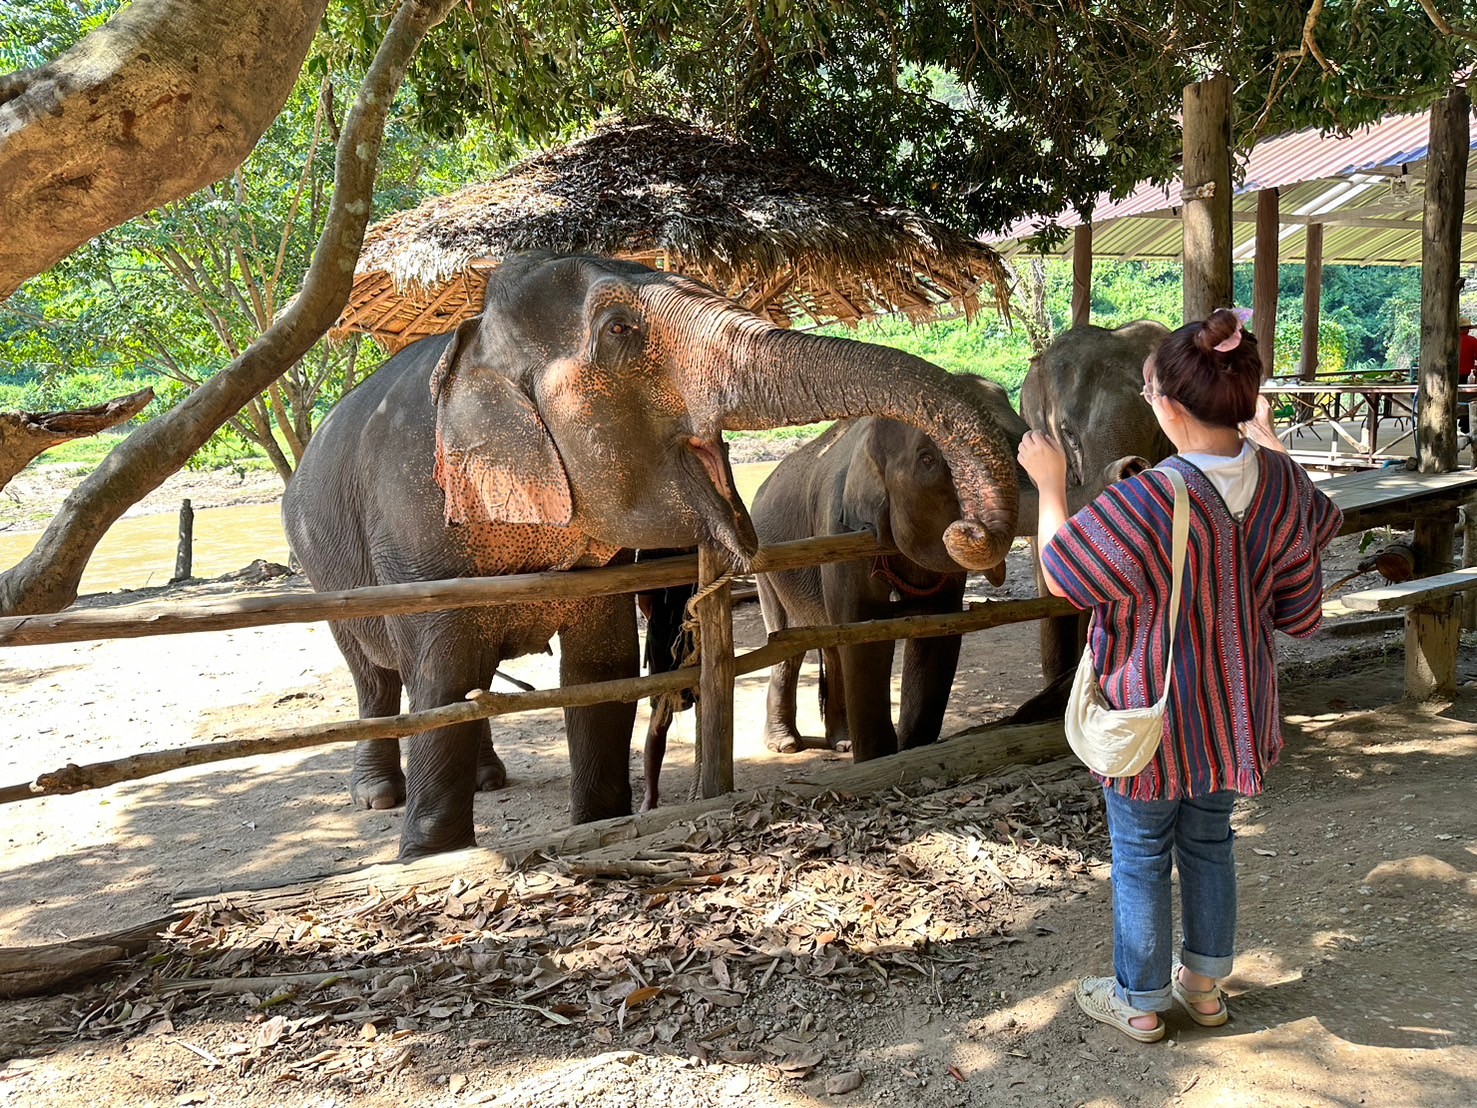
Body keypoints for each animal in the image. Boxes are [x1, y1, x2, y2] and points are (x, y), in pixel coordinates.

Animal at [751, 376, 1028, 762]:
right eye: (927, 460)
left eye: (1019, 439)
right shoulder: (841, 531)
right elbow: (865, 633)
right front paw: (878, 757)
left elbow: (937, 633)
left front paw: (912, 750)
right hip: (767, 568)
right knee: (788, 645)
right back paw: (785, 744)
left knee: (831, 649)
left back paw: (842, 742)